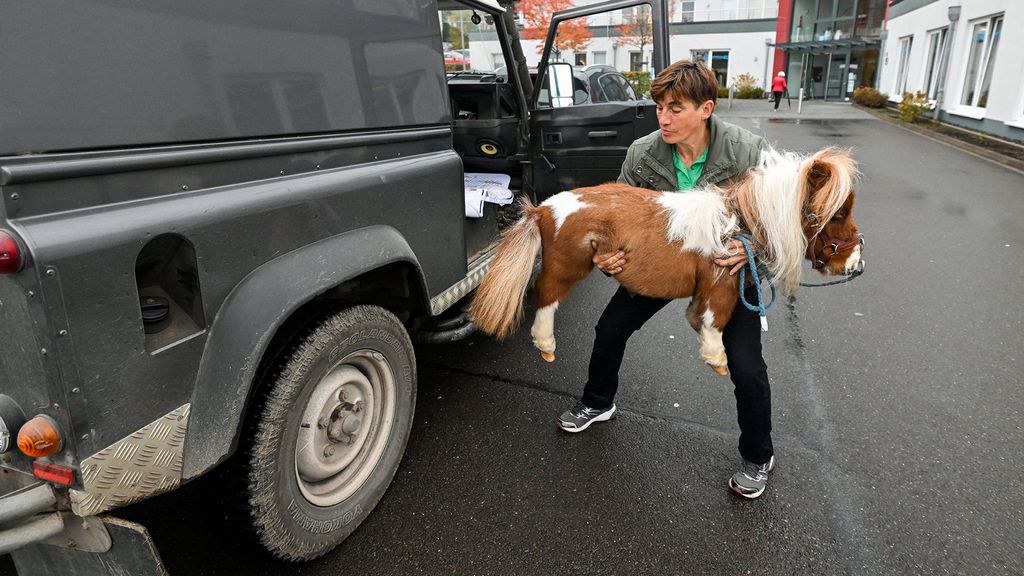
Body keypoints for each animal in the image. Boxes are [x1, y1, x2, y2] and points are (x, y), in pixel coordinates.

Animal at [469, 147, 863, 376]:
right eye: (838, 213)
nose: (856, 263)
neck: (735, 224)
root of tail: (542, 209)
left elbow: (698, 314)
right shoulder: (720, 283)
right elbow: (715, 320)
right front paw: (716, 359)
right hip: (567, 268)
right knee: (547, 298)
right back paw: (546, 345)